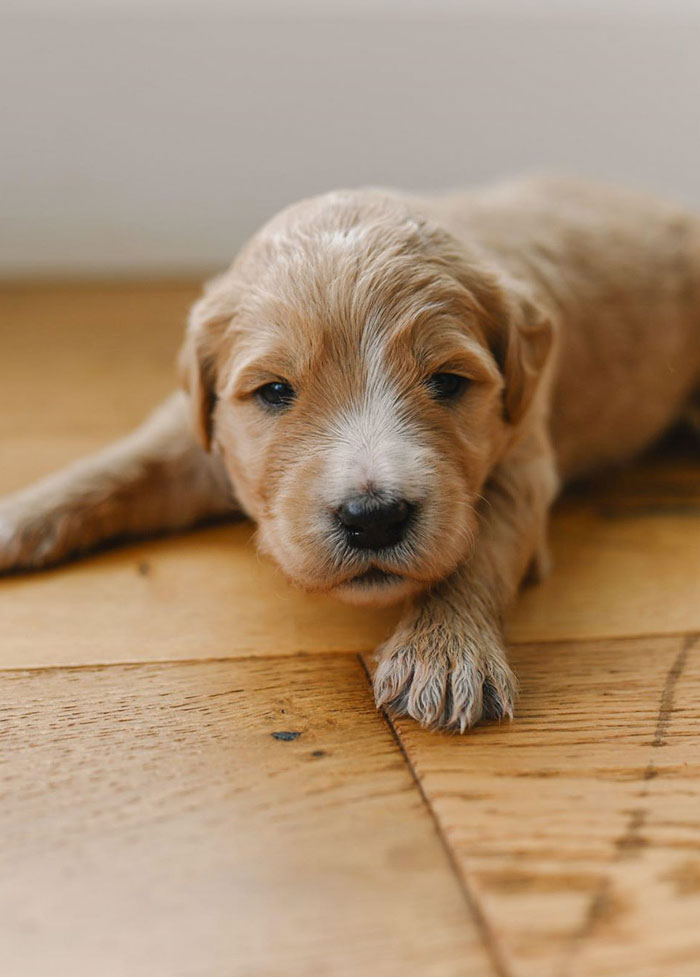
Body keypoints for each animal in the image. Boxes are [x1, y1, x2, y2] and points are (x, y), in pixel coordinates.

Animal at [1, 175, 700, 728]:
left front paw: (443, 653)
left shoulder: (524, 453)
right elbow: (124, 462)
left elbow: (481, 545)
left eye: (448, 382)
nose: (375, 519)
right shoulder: (205, 431)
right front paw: (20, 514)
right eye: (274, 391)